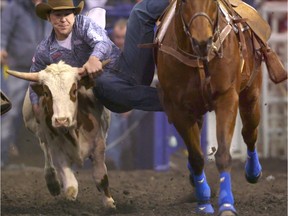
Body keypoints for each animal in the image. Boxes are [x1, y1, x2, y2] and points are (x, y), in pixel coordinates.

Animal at [155, 0, 266, 214]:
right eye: (183, 2)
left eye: (212, 2)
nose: (202, 42)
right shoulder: (178, 110)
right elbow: (196, 157)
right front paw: (204, 203)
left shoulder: (226, 98)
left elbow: (223, 154)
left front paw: (227, 204)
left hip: (251, 94)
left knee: (249, 132)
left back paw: (253, 171)